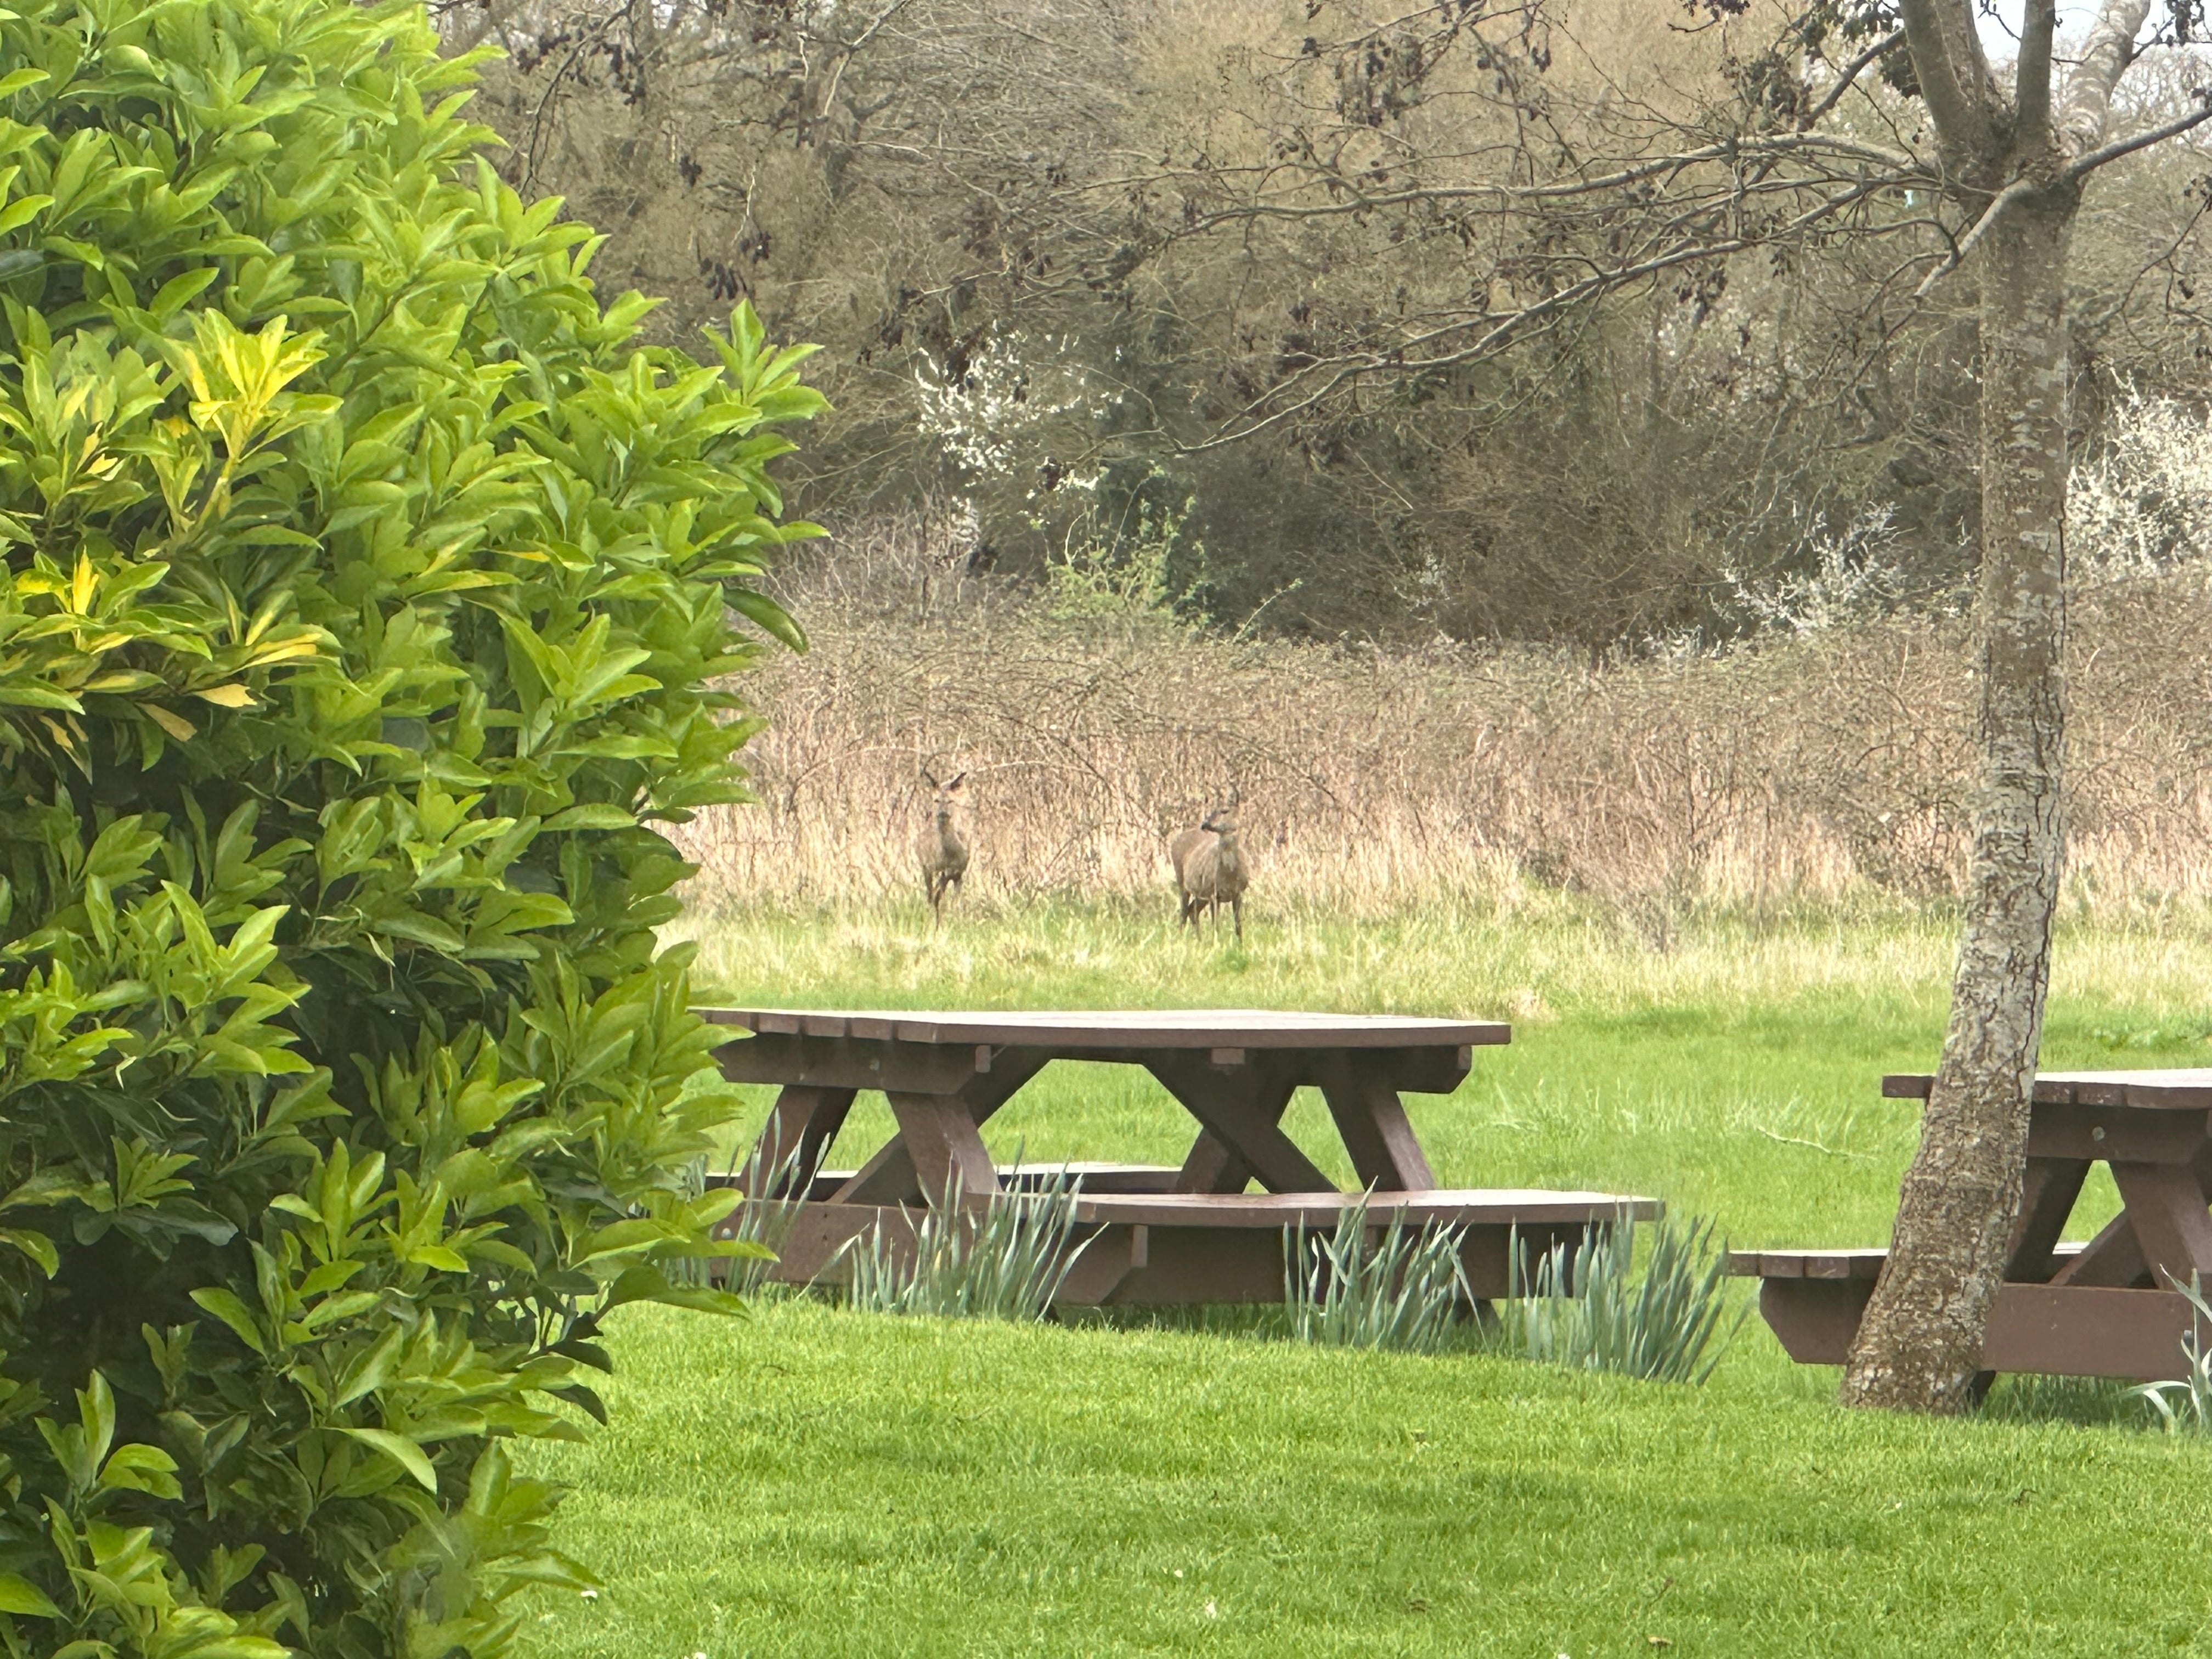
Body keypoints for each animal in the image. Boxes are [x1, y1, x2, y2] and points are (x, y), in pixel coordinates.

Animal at [917, 768, 969, 920]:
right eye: (936, 800)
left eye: (951, 801)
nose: (942, 813)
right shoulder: (934, 868)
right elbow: (936, 897)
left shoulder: (959, 873)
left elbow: (955, 902)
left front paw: (956, 918)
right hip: (926, 867)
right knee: (931, 894)